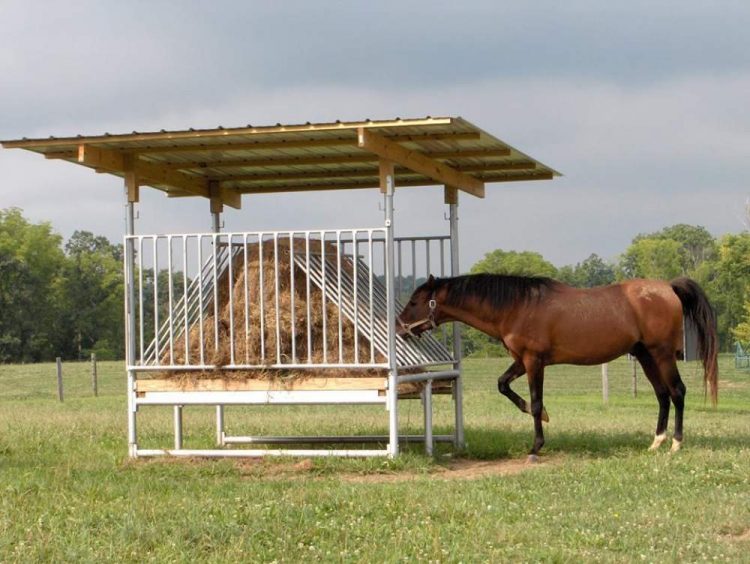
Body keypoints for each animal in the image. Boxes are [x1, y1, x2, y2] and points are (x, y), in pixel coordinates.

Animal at [396, 274, 720, 462]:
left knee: (677, 392)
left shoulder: (533, 360)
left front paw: (535, 447)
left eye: (414, 301)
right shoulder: (521, 360)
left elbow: (537, 401)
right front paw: (539, 415)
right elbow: (503, 384)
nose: (399, 327)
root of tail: (668, 288)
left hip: (661, 354)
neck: (517, 305)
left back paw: (676, 444)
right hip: (644, 355)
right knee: (662, 395)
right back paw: (656, 442)